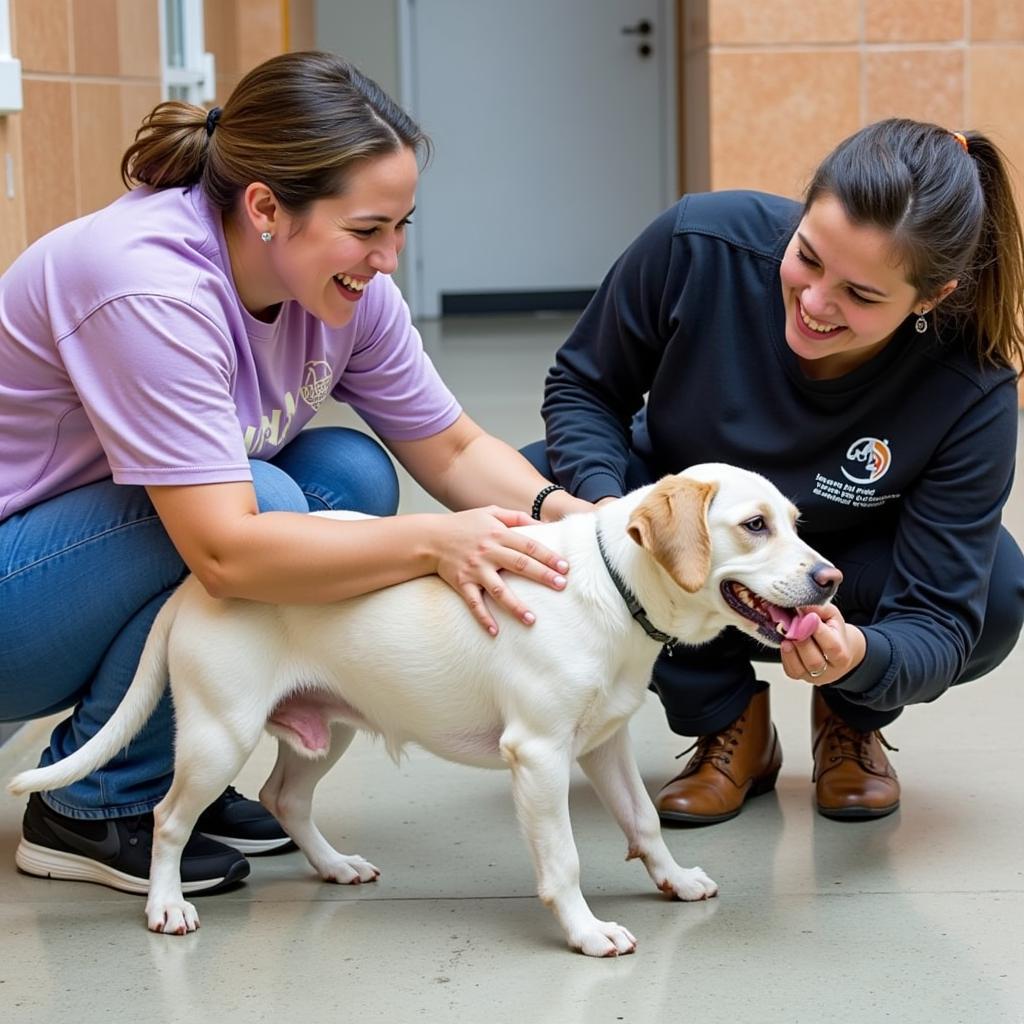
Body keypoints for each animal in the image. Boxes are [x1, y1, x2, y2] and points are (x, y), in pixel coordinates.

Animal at [9, 468, 839, 954]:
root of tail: (192, 583)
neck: (611, 583)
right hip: (219, 736)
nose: (832, 579)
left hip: (324, 734)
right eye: (755, 526)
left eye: (798, 523)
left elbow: (644, 824)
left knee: (283, 797)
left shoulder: (600, 745)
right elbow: (565, 860)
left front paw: (673, 881)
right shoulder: (539, 755)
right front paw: (584, 931)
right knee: (170, 820)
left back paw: (334, 865)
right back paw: (166, 905)